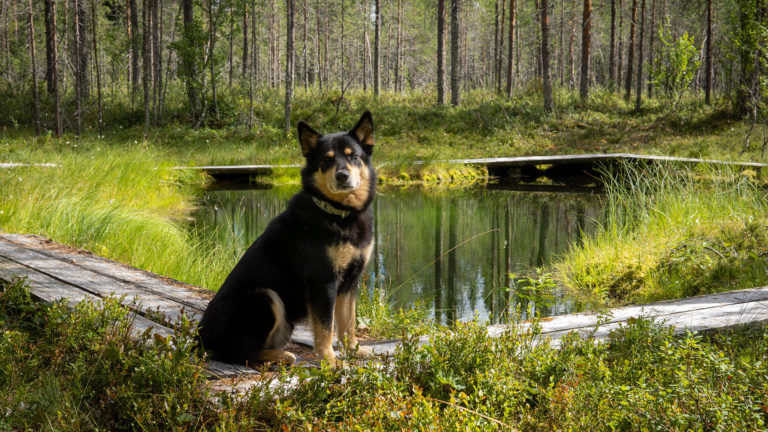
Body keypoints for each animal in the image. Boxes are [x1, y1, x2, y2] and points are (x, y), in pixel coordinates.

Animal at [200, 113, 376, 366]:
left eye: (353, 156)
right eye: (327, 160)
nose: (342, 176)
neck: (339, 213)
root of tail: (201, 340)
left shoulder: (350, 282)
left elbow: (347, 323)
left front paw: (353, 349)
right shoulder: (323, 282)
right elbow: (326, 327)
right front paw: (329, 360)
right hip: (265, 296)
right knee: (242, 354)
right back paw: (281, 355)